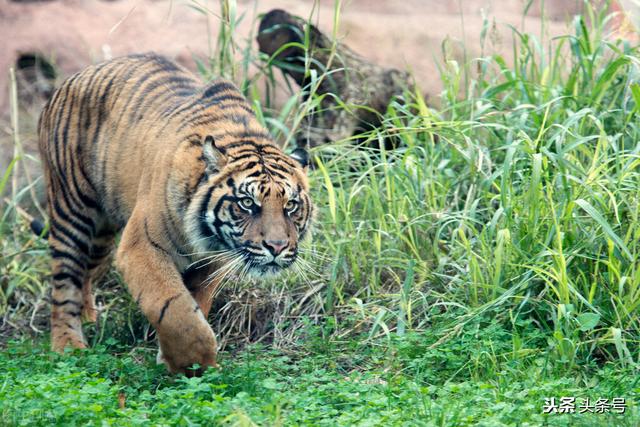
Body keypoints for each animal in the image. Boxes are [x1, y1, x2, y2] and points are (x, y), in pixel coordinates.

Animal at [37, 51, 312, 376]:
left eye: (290, 205)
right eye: (247, 203)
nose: (277, 247)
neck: (205, 237)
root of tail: (67, 81)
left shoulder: (210, 262)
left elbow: (195, 307)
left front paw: (173, 360)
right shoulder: (142, 247)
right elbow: (176, 310)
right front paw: (194, 363)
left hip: (101, 235)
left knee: (85, 274)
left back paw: (89, 318)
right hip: (72, 212)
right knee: (65, 282)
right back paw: (68, 345)